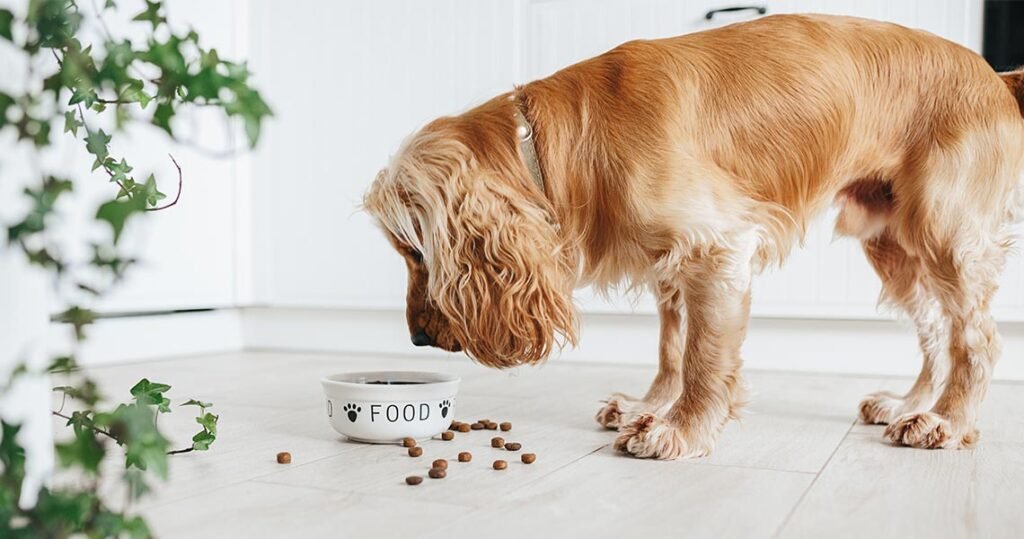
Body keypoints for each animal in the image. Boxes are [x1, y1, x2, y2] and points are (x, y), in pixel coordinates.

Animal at [366, 13, 1024, 461]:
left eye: (416, 251)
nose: (417, 337)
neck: (553, 145)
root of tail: (996, 76)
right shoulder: (672, 267)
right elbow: (672, 349)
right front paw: (648, 406)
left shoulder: (716, 249)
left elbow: (705, 357)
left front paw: (678, 429)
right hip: (891, 243)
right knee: (936, 331)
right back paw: (910, 406)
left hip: (947, 233)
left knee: (978, 341)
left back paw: (946, 423)